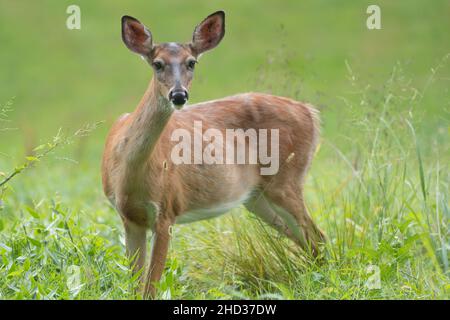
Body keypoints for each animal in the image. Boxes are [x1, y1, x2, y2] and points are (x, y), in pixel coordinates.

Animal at [101, 11, 326, 298]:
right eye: (158, 64)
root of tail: (310, 112)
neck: (128, 174)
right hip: (257, 198)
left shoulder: (167, 210)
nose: (178, 95)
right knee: (306, 239)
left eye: (192, 62)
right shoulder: (129, 217)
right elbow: (135, 285)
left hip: (286, 180)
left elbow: (150, 287)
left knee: (317, 236)